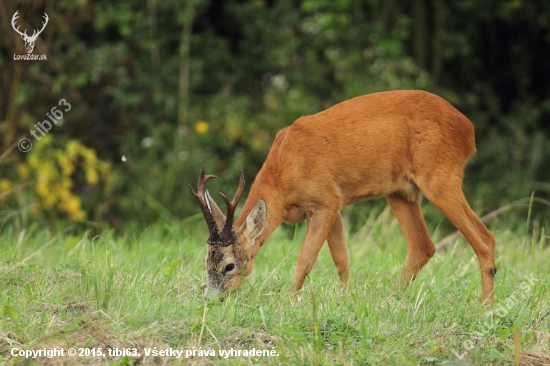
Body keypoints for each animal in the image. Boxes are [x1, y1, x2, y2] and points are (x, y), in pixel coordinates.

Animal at [191, 90, 500, 302]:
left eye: (230, 265)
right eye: (206, 261)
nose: (214, 299)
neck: (284, 171)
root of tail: (469, 129)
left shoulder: (326, 198)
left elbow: (306, 259)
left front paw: (290, 300)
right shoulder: (334, 204)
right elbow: (341, 258)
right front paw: (346, 298)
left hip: (440, 177)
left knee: (484, 238)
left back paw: (484, 307)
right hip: (400, 192)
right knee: (423, 246)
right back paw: (389, 298)